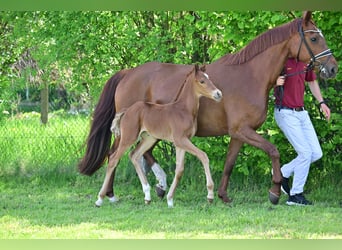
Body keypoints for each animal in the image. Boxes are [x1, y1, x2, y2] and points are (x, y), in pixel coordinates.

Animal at [94, 65, 222, 207]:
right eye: (202, 81)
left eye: (209, 78)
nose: (218, 94)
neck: (183, 110)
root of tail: (126, 111)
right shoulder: (181, 140)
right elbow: (203, 156)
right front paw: (210, 195)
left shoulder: (181, 143)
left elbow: (179, 170)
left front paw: (170, 199)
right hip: (128, 137)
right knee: (113, 159)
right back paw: (100, 199)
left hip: (149, 139)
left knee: (134, 155)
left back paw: (147, 196)